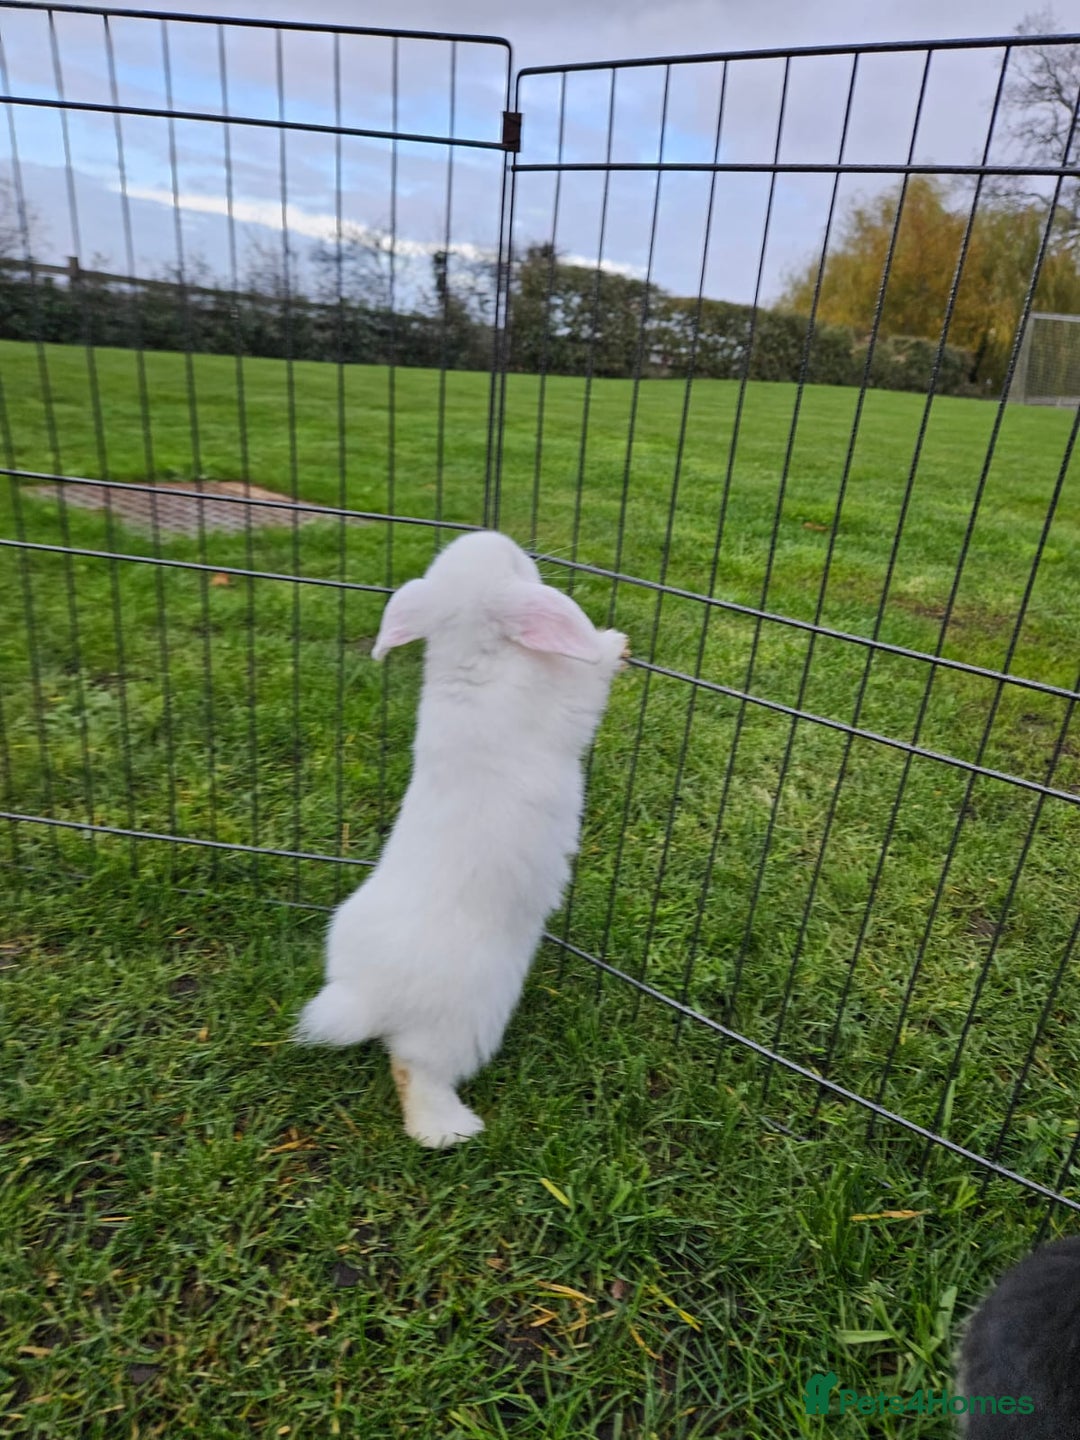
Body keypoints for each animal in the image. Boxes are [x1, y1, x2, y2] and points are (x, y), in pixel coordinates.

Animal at [294, 529, 628, 1148]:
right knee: (413, 1072)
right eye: (518, 566)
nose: (514, 542)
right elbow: (590, 678)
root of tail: (366, 996)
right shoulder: (568, 697)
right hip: (463, 1025)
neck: (476, 658)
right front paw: (615, 644)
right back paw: (451, 1131)